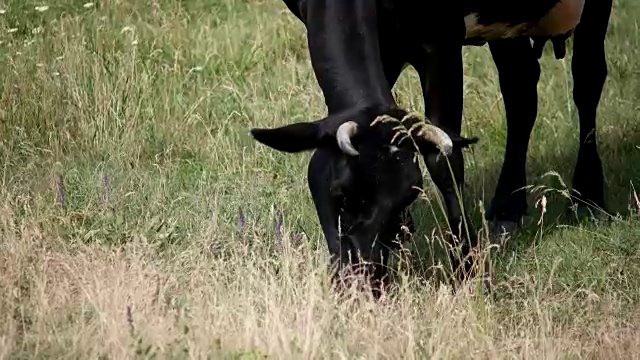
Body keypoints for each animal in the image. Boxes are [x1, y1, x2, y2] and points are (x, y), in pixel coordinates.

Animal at [248, 0, 612, 296]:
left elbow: (444, 158)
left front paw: (468, 270)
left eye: (409, 196)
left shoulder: (439, 39)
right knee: (520, 88)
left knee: (588, 77)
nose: (365, 280)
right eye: (340, 193)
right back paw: (508, 206)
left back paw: (589, 195)